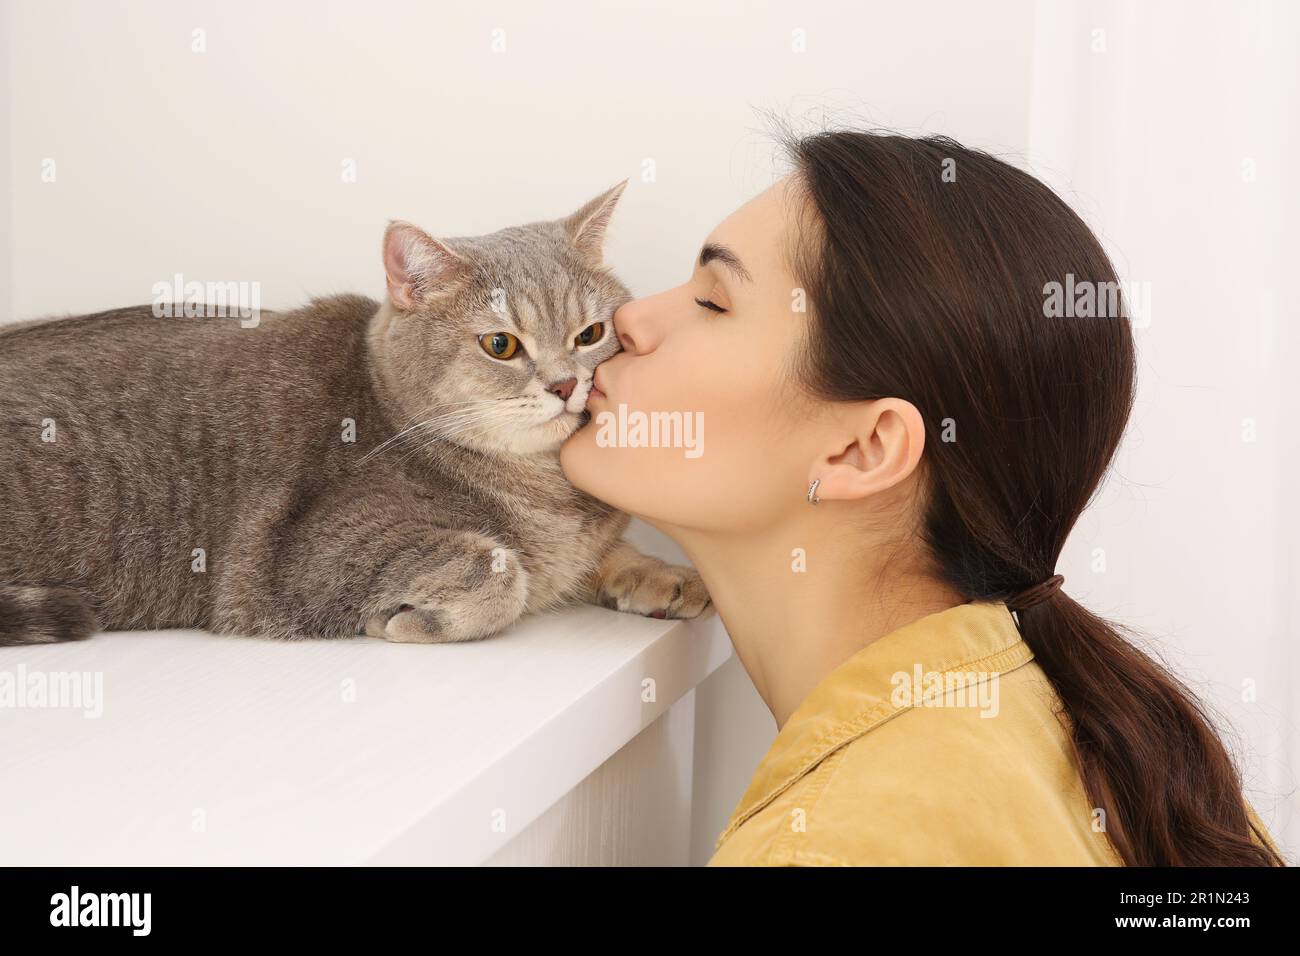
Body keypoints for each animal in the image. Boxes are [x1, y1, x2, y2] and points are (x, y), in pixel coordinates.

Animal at [0, 180, 712, 647]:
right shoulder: (306, 559)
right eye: (501, 345)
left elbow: (603, 555)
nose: (567, 384)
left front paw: (666, 576)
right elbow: (502, 569)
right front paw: (410, 619)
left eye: (591, 334)